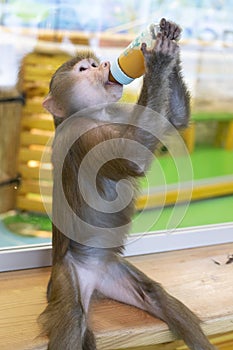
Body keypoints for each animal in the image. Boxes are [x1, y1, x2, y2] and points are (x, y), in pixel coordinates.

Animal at [38, 18, 217, 350]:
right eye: (84, 69)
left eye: (95, 63)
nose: (106, 65)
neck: (97, 114)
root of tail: (95, 278)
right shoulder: (83, 135)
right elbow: (132, 157)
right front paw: (159, 59)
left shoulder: (118, 112)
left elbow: (174, 123)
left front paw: (169, 41)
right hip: (67, 277)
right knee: (73, 319)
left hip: (112, 269)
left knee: (155, 295)